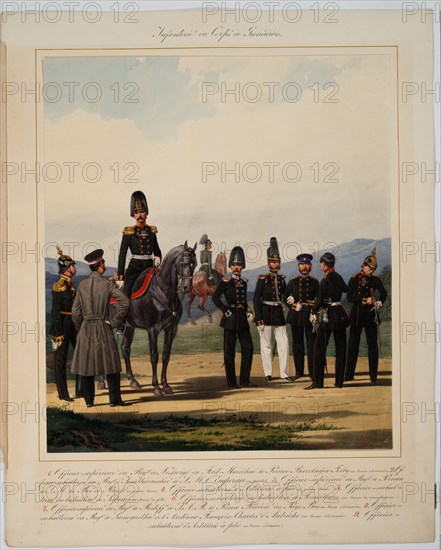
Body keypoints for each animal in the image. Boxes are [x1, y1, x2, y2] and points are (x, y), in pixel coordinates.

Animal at [117, 242, 196, 396]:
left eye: (194, 264)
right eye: (184, 263)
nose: (186, 287)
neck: (164, 292)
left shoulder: (171, 329)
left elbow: (166, 355)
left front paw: (165, 385)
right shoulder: (152, 330)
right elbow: (154, 356)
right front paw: (156, 387)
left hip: (129, 327)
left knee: (125, 348)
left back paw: (133, 381)